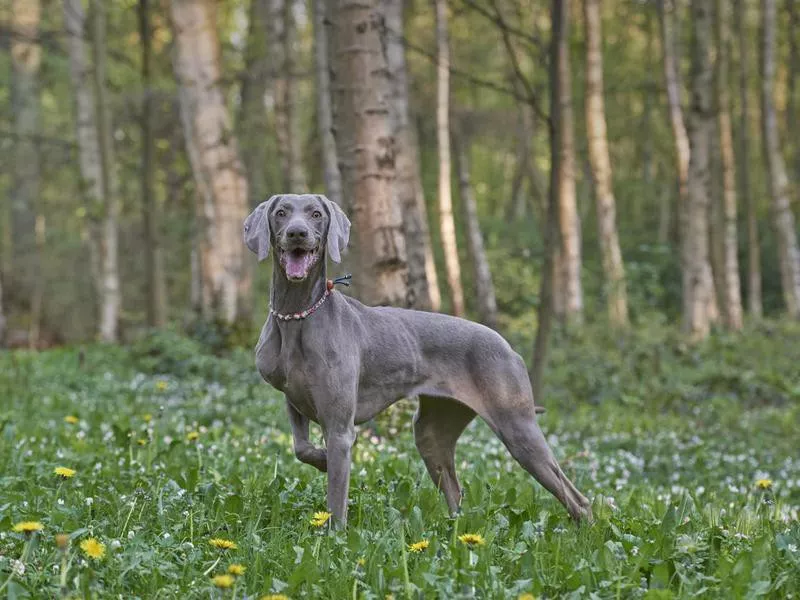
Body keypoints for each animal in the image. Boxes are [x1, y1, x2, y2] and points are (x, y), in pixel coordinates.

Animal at [247, 193, 592, 524]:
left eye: (316, 214)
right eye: (281, 213)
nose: (297, 233)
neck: (298, 315)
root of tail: (509, 348)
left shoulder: (340, 427)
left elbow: (336, 498)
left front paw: (335, 535)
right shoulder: (294, 400)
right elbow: (301, 448)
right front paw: (319, 460)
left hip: (517, 425)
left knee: (577, 498)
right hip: (433, 431)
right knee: (454, 489)